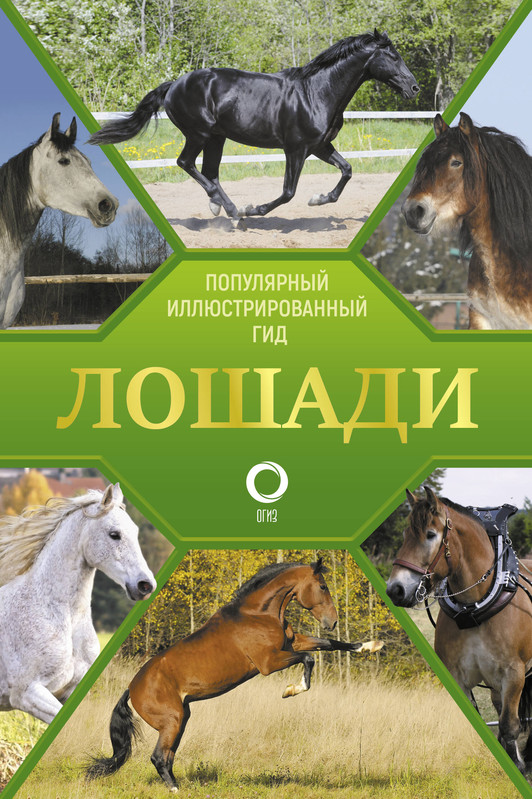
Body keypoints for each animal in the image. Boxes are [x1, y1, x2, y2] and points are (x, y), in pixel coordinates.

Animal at [86, 558, 383, 790]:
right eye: (323, 586)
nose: (332, 621)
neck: (259, 614)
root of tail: (131, 688)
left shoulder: (292, 644)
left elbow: (330, 644)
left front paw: (371, 645)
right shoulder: (269, 662)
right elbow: (310, 659)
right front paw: (291, 690)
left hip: (182, 718)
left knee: (167, 758)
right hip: (172, 720)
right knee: (159, 757)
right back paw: (176, 790)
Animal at [89, 30, 419, 224]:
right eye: (393, 56)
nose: (414, 88)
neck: (316, 93)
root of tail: (174, 85)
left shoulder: (320, 146)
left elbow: (347, 170)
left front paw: (318, 200)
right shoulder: (296, 149)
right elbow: (288, 192)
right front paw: (253, 209)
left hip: (217, 138)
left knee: (209, 172)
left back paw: (220, 207)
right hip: (199, 133)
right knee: (186, 163)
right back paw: (233, 211)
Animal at [386, 486, 532, 774]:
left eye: (431, 535)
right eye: (406, 534)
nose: (395, 589)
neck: (474, 609)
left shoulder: (515, 674)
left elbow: (509, 726)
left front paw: (519, 767)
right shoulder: (458, 676)